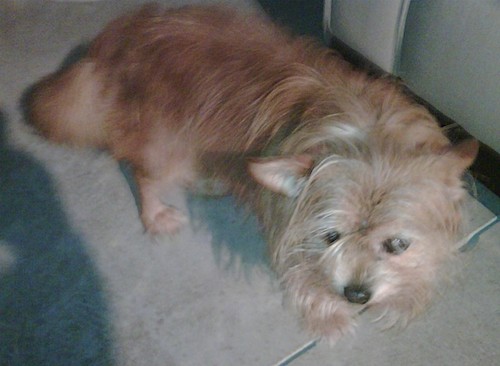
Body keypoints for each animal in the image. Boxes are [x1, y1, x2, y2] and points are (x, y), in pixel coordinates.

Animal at [26, 4, 476, 344]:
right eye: (331, 237)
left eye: (397, 244)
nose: (356, 295)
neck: (370, 132)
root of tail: (120, 35)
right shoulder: (289, 224)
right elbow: (303, 277)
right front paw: (329, 316)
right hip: (165, 143)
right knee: (144, 174)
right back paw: (156, 214)